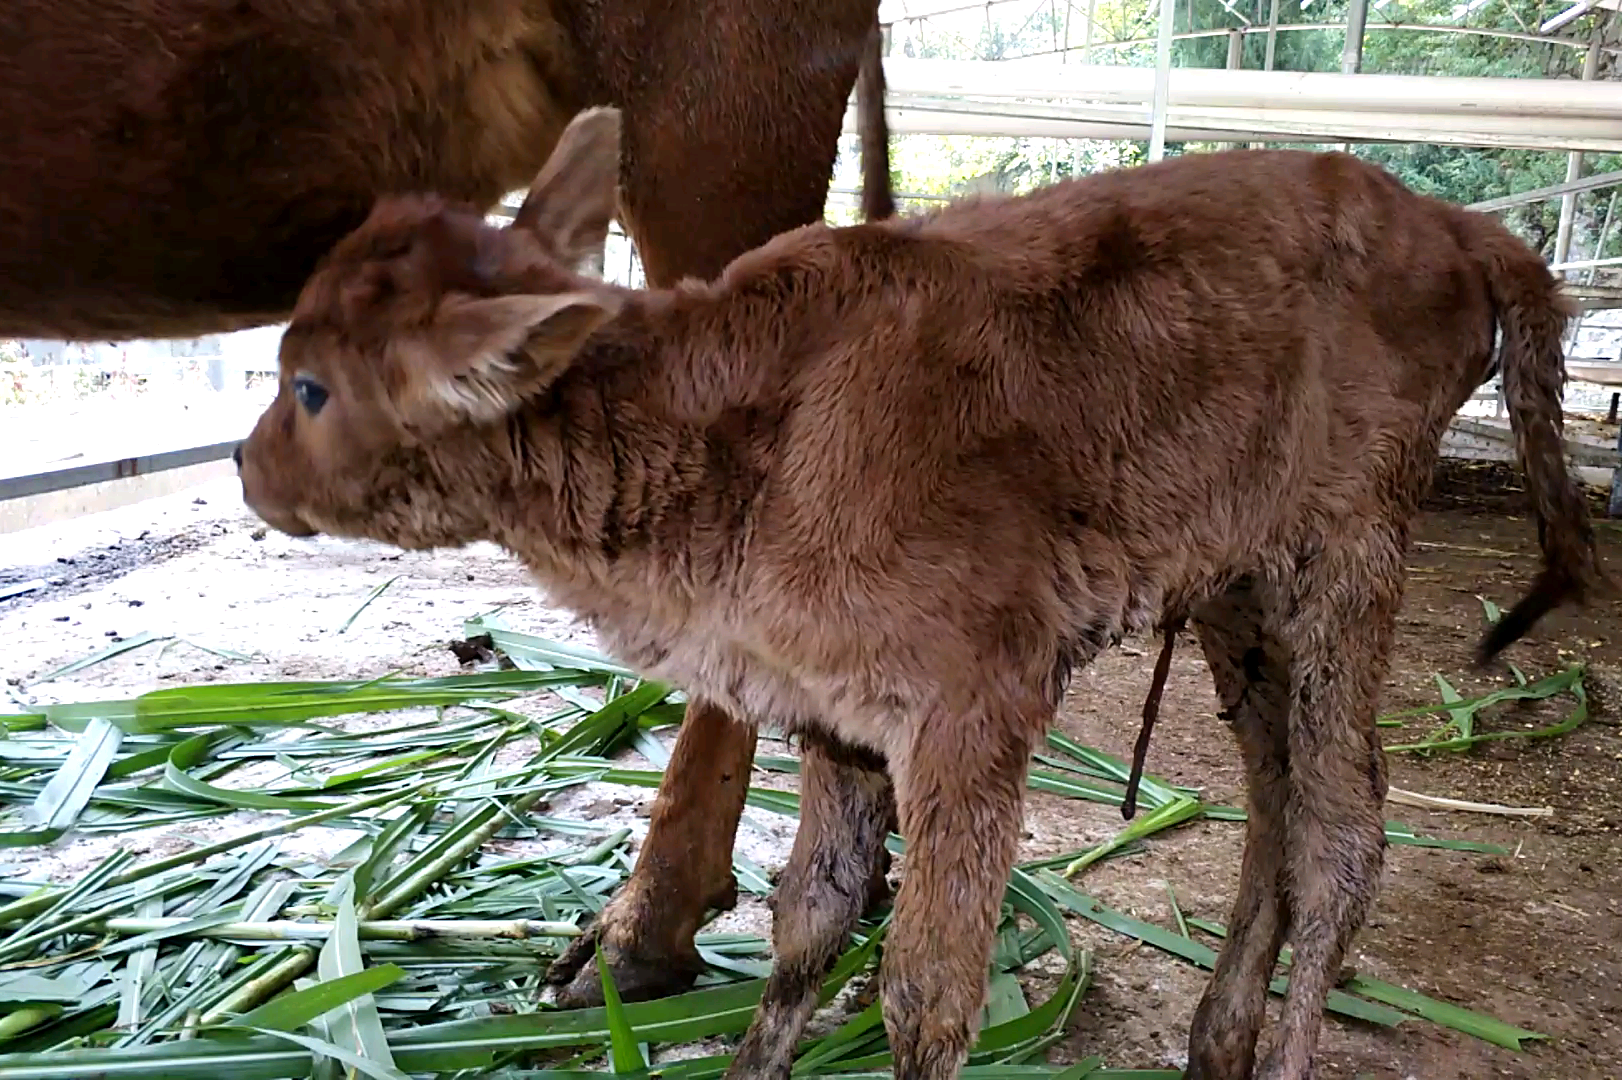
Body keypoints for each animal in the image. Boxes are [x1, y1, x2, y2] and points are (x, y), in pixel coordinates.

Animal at [236, 109, 1596, 1076]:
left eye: (308, 386)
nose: (246, 467)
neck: (744, 438)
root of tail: (1462, 229)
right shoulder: (834, 718)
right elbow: (808, 923)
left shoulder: (969, 717)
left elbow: (924, 996)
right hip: (1237, 595)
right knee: (1274, 804)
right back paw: (1216, 1042)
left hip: (1343, 566)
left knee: (1341, 842)